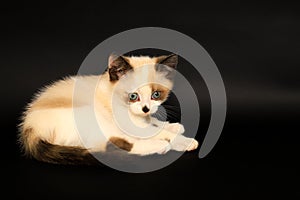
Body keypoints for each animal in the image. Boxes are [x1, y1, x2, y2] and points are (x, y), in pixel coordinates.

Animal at [18, 53, 197, 164]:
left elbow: (153, 122)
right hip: (92, 116)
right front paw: (184, 141)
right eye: (133, 96)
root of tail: (29, 128)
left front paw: (172, 126)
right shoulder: (127, 123)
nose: (145, 109)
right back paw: (160, 146)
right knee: (109, 144)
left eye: (156, 94)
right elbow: (152, 131)